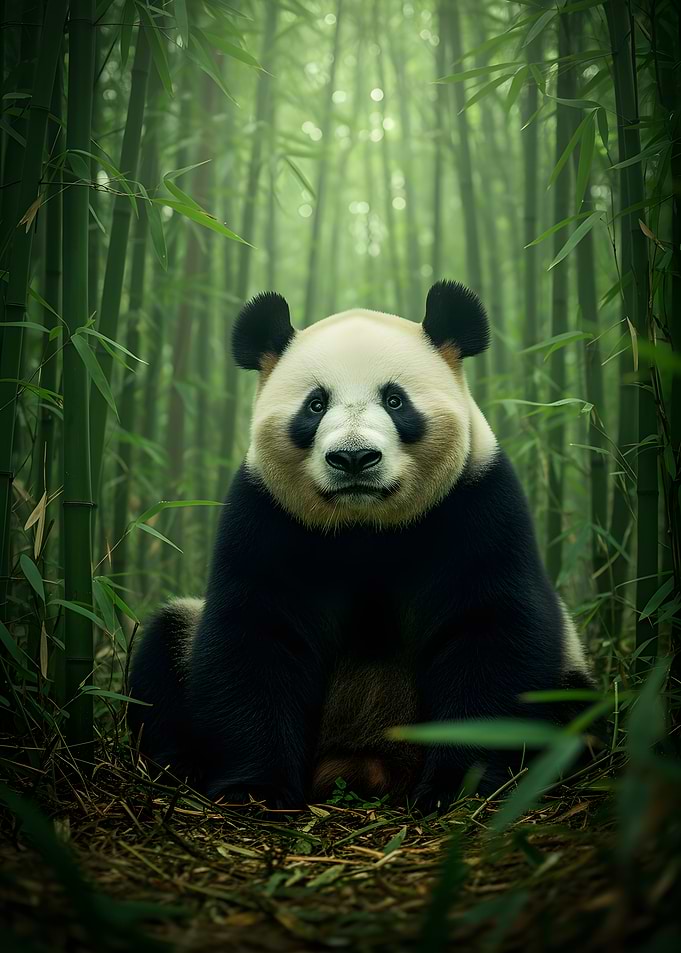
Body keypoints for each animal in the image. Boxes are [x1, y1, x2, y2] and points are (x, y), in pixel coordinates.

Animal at [128, 280, 595, 811]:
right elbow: (255, 635)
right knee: (163, 652)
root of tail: (364, 763)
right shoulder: (265, 516)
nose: (354, 458)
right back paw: (176, 763)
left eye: (395, 400)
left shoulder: (477, 505)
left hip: (568, 670)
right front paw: (256, 790)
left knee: (575, 711)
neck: (365, 526)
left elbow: (489, 631)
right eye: (315, 405)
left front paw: (457, 787)